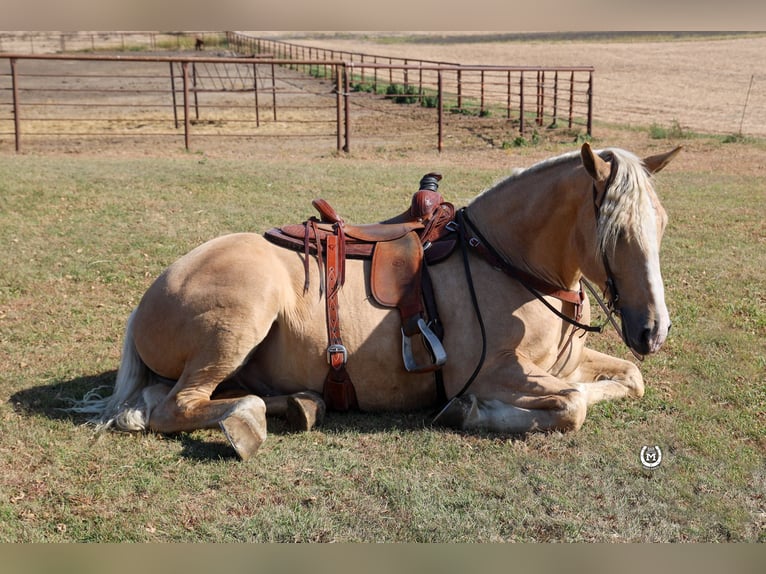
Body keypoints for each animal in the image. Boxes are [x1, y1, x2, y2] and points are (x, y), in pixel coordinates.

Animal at [73, 145, 684, 464]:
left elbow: (628, 380)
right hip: (239, 322)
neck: (506, 261)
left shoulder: (569, 363)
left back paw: (300, 404)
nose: (653, 330)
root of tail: (153, 294)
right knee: (173, 408)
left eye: (661, 223)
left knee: (172, 400)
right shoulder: (493, 372)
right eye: (614, 232)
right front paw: (471, 412)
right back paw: (247, 421)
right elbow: (573, 405)